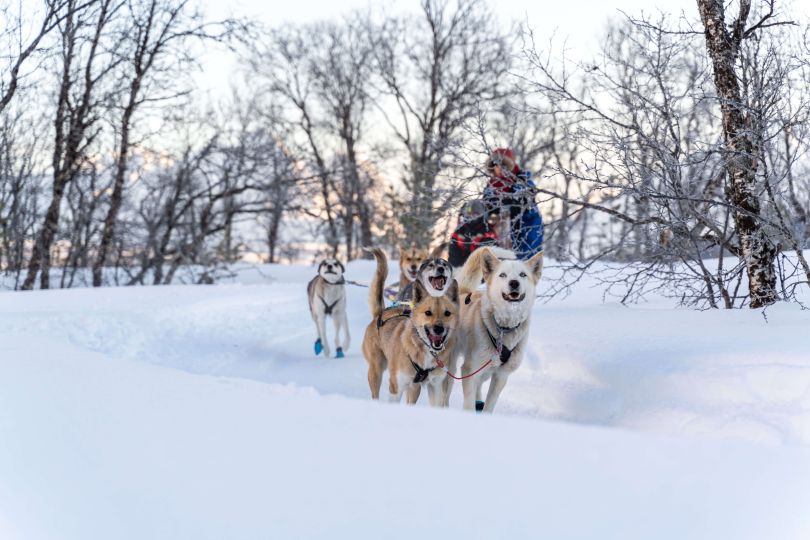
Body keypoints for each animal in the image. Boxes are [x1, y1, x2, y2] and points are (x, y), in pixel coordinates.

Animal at [362, 248, 458, 404]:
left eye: (447, 313)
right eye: (428, 312)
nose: (439, 329)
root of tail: (381, 313)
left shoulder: (435, 387)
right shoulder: (396, 388)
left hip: (414, 387)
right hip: (376, 371)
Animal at [454, 247, 544, 412]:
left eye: (523, 274)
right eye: (502, 275)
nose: (514, 283)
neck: (504, 328)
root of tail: (462, 292)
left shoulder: (501, 375)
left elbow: (489, 406)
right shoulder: (469, 370)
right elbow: (468, 404)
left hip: (486, 371)